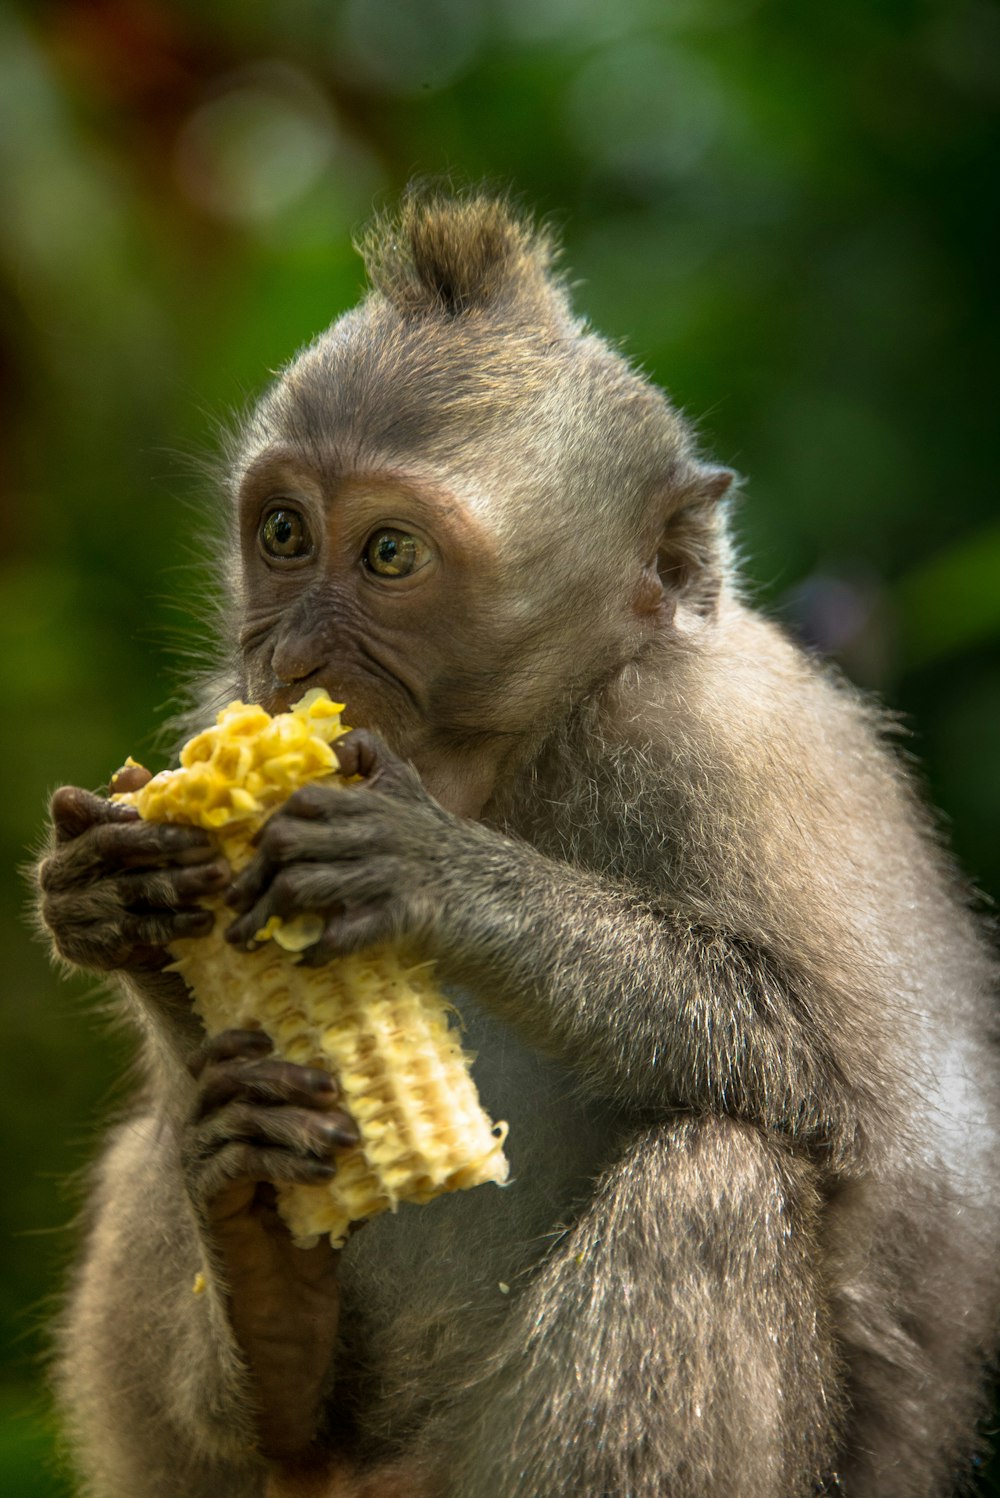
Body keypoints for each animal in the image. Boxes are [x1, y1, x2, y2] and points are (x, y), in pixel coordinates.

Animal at [35, 199, 999, 1498]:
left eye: (390, 555)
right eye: (284, 533)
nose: (288, 660)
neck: (501, 764)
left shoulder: (730, 753)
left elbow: (839, 1089)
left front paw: (443, 878)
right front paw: (111, 899)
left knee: (712, 1175)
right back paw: (272, 1317)